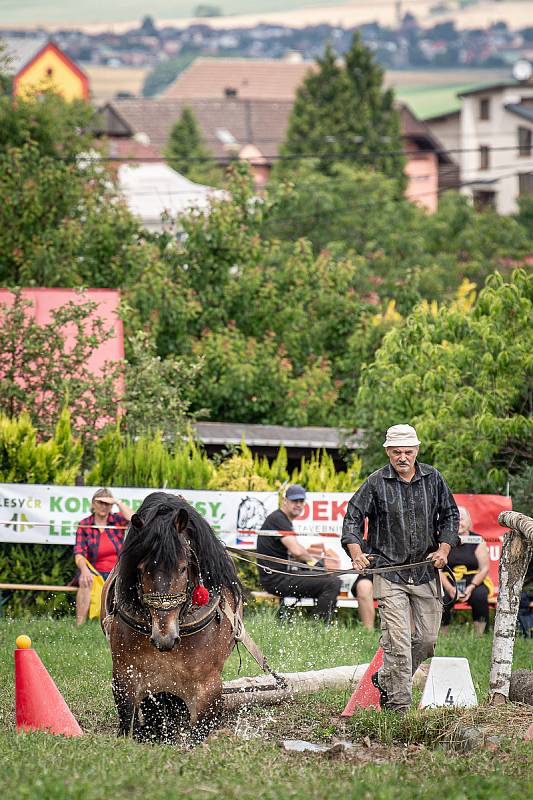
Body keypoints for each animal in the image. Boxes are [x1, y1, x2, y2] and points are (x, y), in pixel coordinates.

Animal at [99, 490, 241, 748]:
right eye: (141, 569)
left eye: (184, 568)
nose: (164, 638)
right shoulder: (125, 674)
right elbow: (129, 721)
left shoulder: (208, 686)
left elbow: (198, 732)